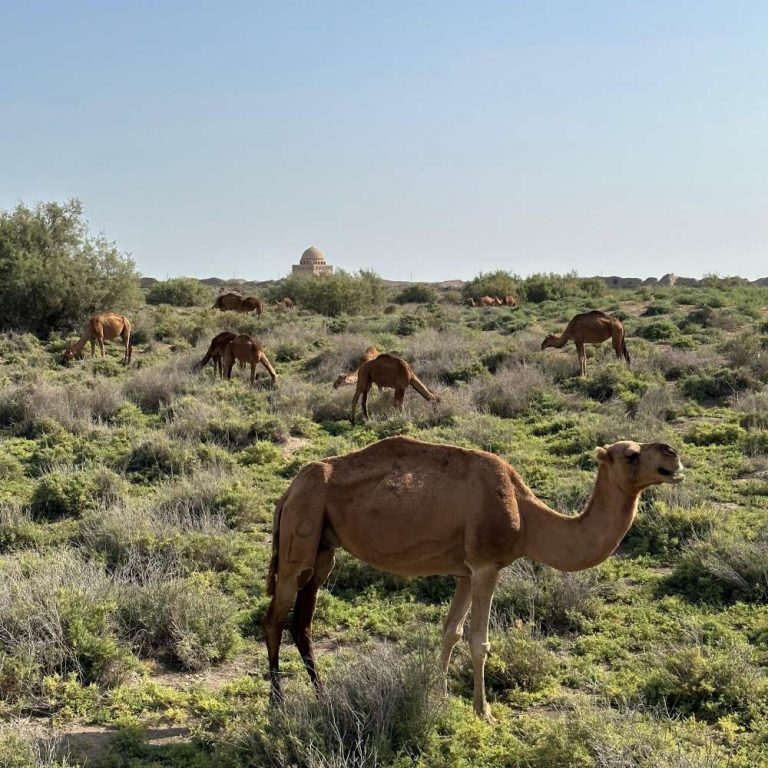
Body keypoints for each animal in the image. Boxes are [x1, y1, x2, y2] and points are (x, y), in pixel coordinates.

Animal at [264, 438, 684, 720]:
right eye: (631, 455)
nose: (673, 456)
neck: (527, 518)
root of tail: (289, 489)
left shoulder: (465, 571)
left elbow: (450, 631)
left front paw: (439, 694)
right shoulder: (486, 566)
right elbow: (479, 641)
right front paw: (484, 712)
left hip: (323, 549)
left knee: (302, 622)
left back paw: (321, 694)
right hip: (301, 530)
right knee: (275, 618)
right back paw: (277, 701)